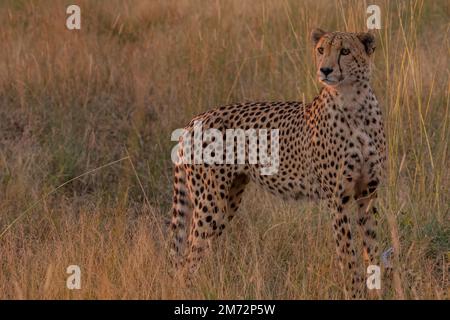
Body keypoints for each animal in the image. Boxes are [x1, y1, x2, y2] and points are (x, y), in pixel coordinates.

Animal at [169, 28, 386, 298]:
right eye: (321, 50)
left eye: (345, 51)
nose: (325, 70)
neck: (355, 103)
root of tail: (194, 120)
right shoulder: (338, 199)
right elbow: (348, 254)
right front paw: (354, 292)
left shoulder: (368, 194)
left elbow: (372, 247)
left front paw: (377, 290)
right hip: (211, 203)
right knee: (188, 259)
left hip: (229, 199)